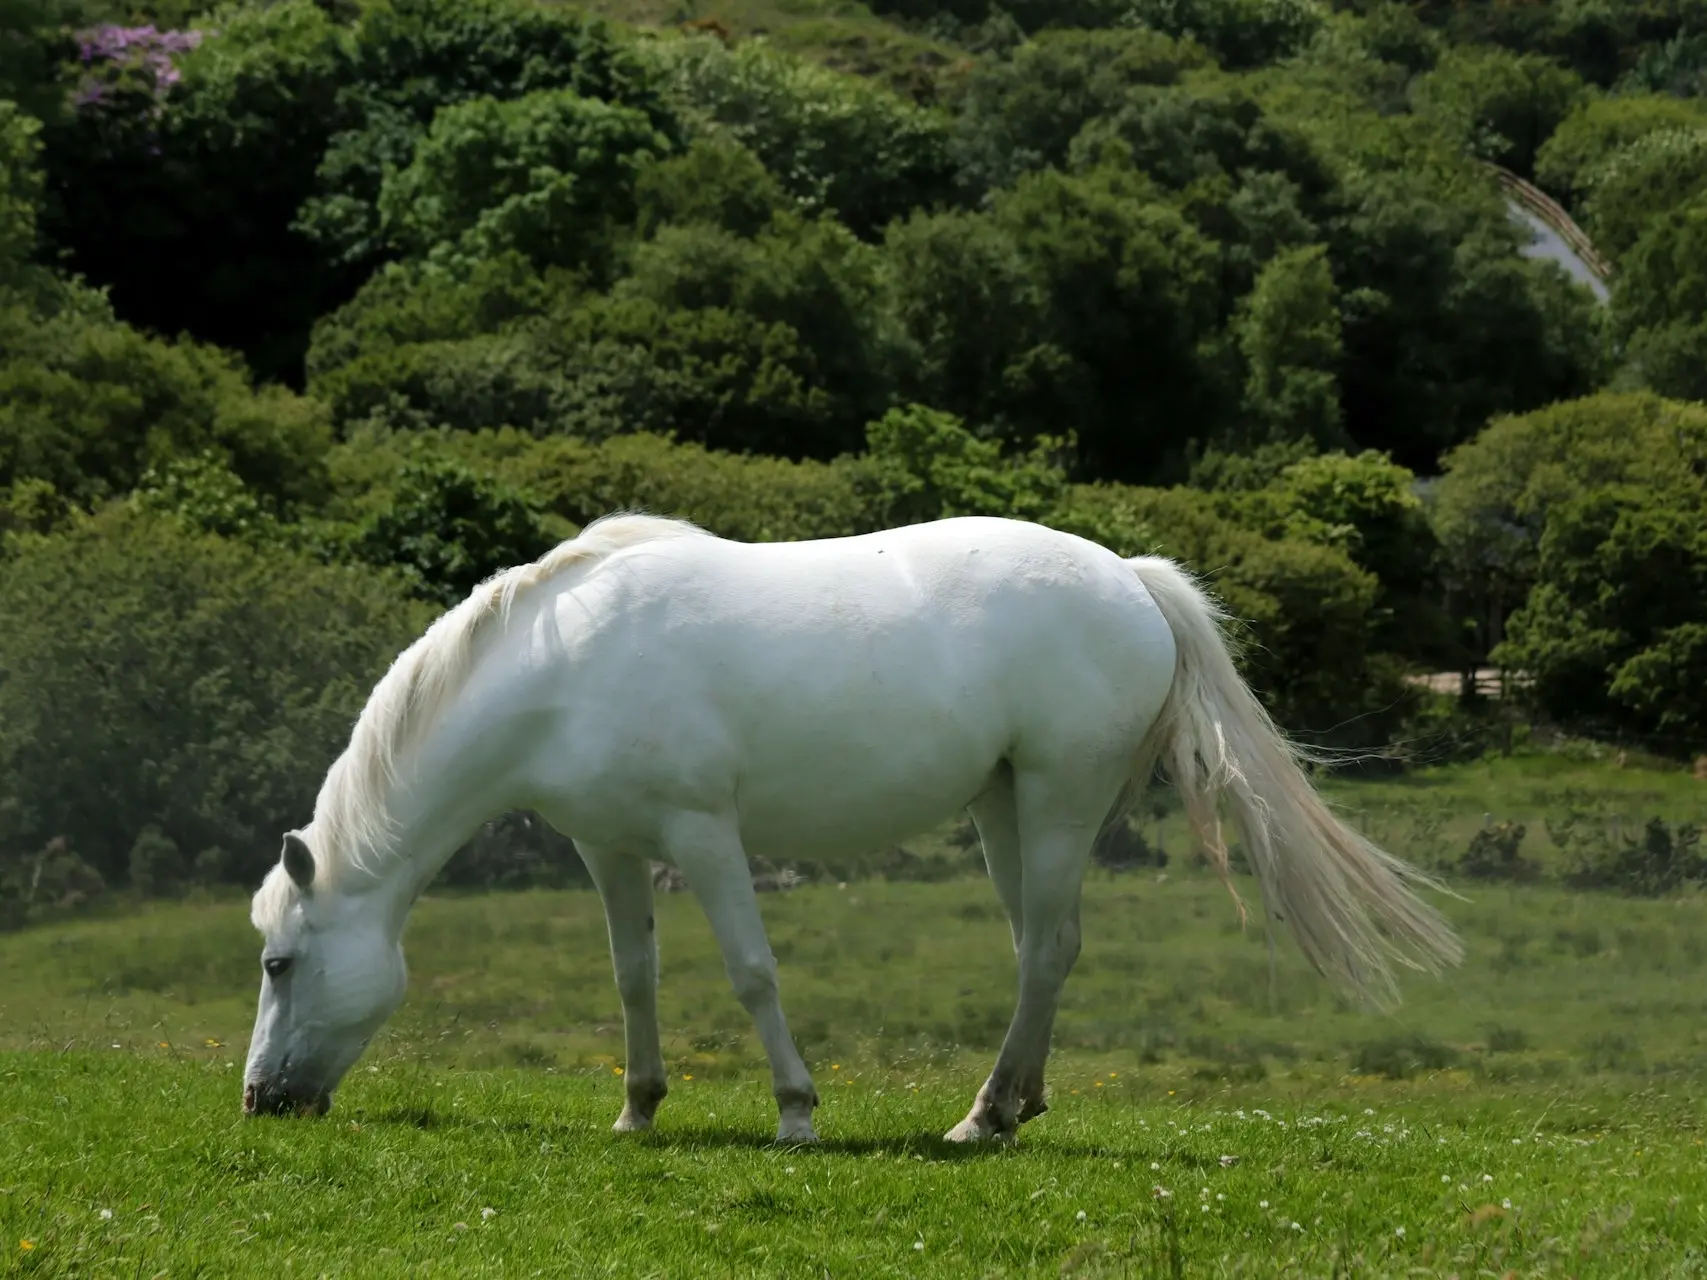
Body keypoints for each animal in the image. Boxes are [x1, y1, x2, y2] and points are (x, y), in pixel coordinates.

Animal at [244, 515, 1468, 1146]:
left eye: (279, 962)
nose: (261, 1099)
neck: (563, 666)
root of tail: (1129, 576)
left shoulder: (703, 834)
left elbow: (751, 971)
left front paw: (795, 1112)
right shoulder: (612, 848)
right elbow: (634, 977)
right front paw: (638, 1108)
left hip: (1058, 799)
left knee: (1049, 950)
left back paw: (982, 1116)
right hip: (1005, 805)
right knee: (1040, 950)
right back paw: (1012, 1103)